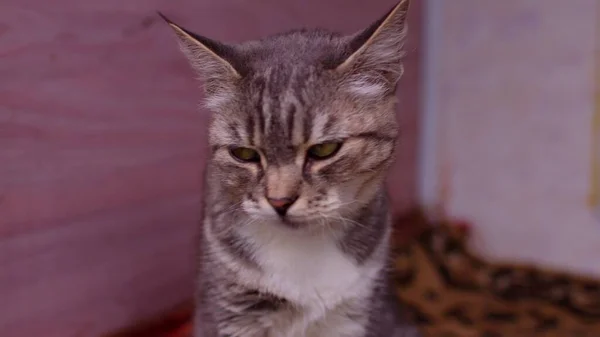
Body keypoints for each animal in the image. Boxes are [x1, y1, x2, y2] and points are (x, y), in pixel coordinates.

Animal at [159, 1, 420, 334]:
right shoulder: (230, 310)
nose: (279, 201)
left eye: (324, 149)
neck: (304, 252)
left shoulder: (357, 311)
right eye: (244, 153)